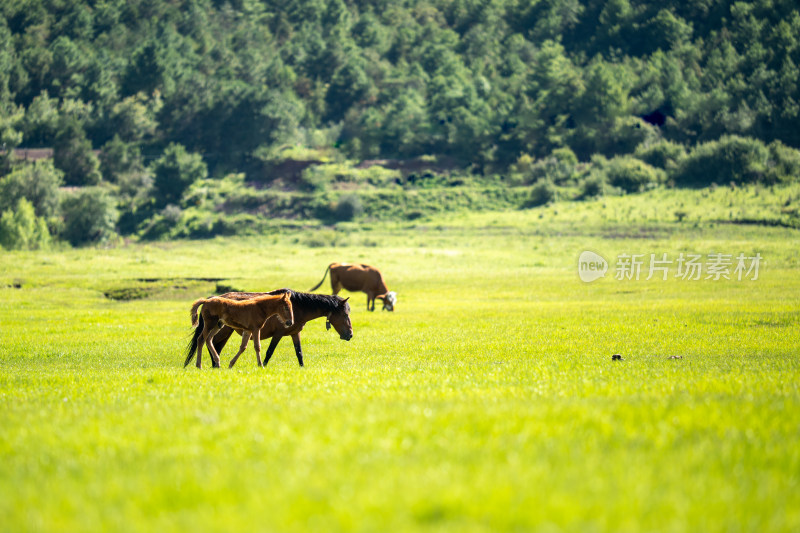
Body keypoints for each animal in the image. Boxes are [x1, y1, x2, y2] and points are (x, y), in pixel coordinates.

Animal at [188, 288, 354, 368]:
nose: (350, 335)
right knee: (210, 343)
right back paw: (214, 364)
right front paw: (264, 365)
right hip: (222, 331)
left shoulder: (295, 333)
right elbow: (269, 352)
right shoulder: (278, 334)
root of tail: (209, 300)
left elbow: (299, 353)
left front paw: (302, 368)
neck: (298, 307)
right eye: (345, 314)